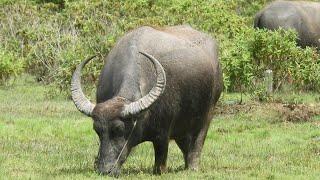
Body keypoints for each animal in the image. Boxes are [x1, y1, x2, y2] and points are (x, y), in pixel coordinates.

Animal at [70, 25, 222, 176]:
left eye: (119, 129)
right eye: (97, 130)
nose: (105, 170)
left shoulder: (163, 133)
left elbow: (160, 160)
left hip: (207, 114)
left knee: (197, 143)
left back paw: (193, 167)